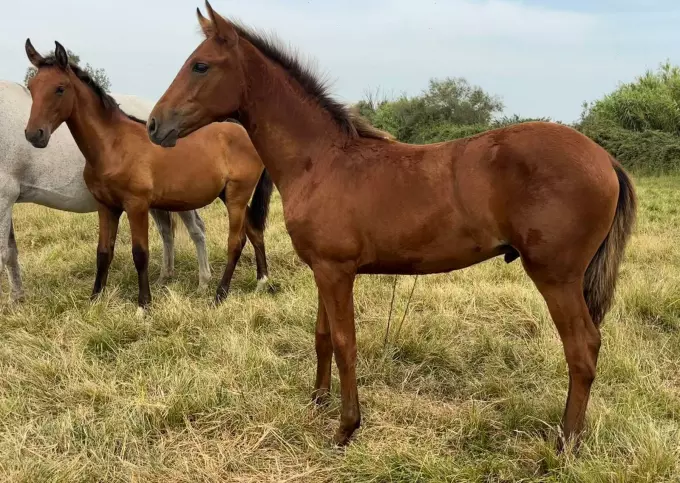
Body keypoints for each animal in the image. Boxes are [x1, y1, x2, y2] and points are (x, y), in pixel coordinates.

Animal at [0, 79, 211, 302]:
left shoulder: (4, 196)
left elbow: (3, 253)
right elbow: (11, 252)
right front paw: (17, 298)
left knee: (196, 230)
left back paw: (203, 283)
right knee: (166, 232)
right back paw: (165, 278)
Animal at [24, 40, 274, 312]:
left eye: (60, 88)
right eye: (32, 87)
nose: (34, 134)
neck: (113, 145)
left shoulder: (137, 206)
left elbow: (140, 253)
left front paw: (143, 305)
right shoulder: (106, 207)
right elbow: (103, 252)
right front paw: (95, 299)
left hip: (237, 196)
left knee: (236, 241)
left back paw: (220, 295)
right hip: (228, 195)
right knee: (254, 230)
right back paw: (262, 282)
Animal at [148, 2, 637, 450]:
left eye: (200, 64)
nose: (154, 124)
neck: (320, 160)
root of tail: (605, 160)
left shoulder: (337, 271)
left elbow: (345, 342)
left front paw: (346, 428)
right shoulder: (323, 270)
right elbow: (323, 337)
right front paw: (317, 402)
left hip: (556, 276)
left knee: (582, 349)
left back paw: (565, 444)